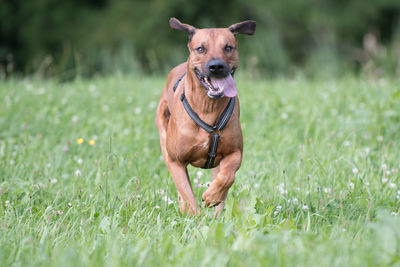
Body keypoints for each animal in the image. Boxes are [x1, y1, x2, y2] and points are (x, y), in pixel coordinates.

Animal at [155, 17, 255, 216]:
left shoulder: (235, 152)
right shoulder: (176, 161)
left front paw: (212, 196)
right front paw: (194, 218)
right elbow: (187, 195)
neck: (208, 108)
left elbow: (227, 177)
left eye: (228, 47)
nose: (216, 66)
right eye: (200, 48)